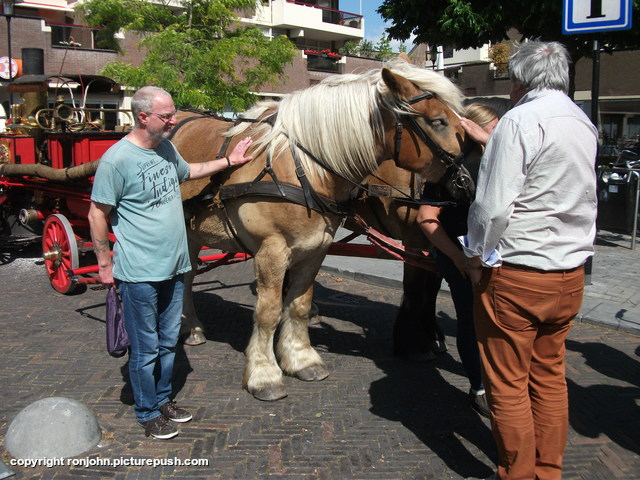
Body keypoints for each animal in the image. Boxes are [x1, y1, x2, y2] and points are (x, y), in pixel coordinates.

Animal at [172, 58, 468, 400]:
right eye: (438, 121)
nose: (466, 181)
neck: (304, 167)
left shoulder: (315, 249)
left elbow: (298, 305)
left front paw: (301, 359)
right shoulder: (271, 252)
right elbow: (268, 312)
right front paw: (264, 375)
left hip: (193, 234)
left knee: (187, 276)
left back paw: (191, 327)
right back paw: (191, 327)